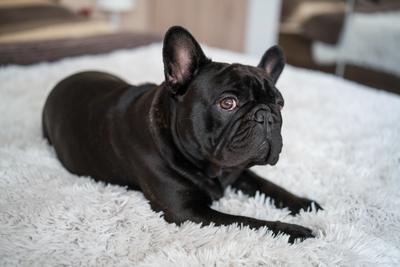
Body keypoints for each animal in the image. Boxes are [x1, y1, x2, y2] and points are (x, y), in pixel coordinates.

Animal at [43, 26, 322, 244]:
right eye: (228, 103)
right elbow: (247, 221)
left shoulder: (239, 171)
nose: (265, 115)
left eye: (280, 104)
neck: (213, 168)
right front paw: (294, 230)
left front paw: (305, 204)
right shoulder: (189, 213)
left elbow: (270, 186)